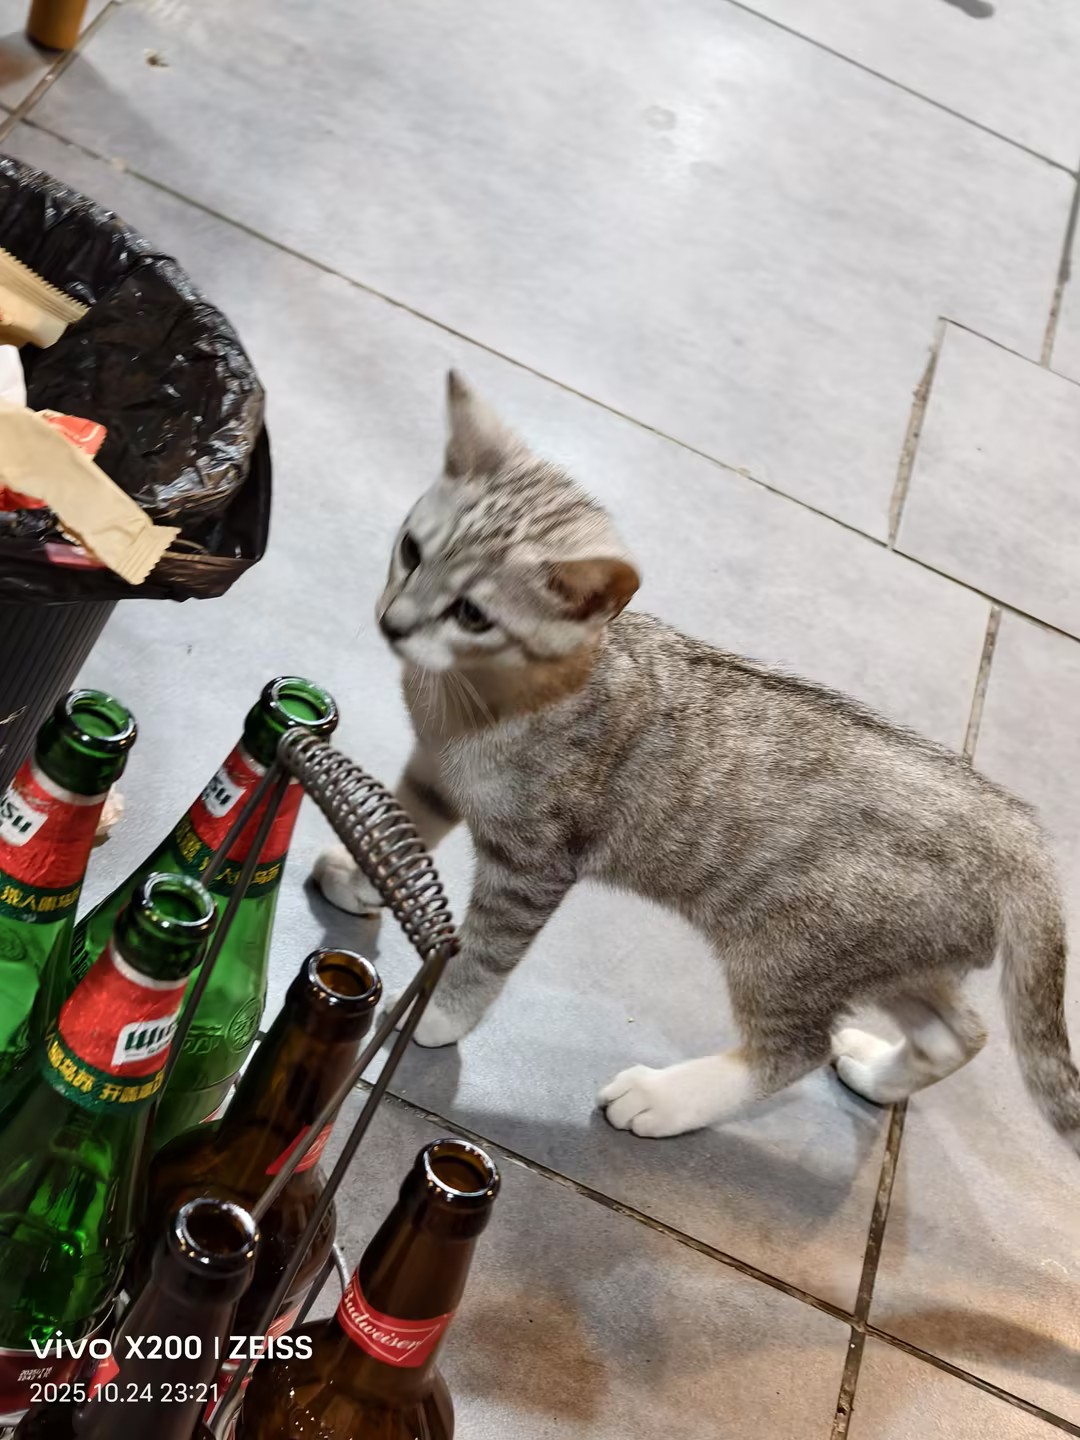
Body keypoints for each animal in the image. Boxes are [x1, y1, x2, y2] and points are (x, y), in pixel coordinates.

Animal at [314, 371, 1080, 1147]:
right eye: (412, 551)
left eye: (472, 614)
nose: (395, 622)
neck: (473, 700)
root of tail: (1019, 833)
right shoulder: (434, 772)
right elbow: (409, 820)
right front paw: (364, 871)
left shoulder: (534, 864)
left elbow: (490, 946)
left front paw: (439, 1008)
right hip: (891, 958)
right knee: (962, 1032)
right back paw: (878, 1073)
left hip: (791, 949)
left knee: (799, 1046)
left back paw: (666, 1098)